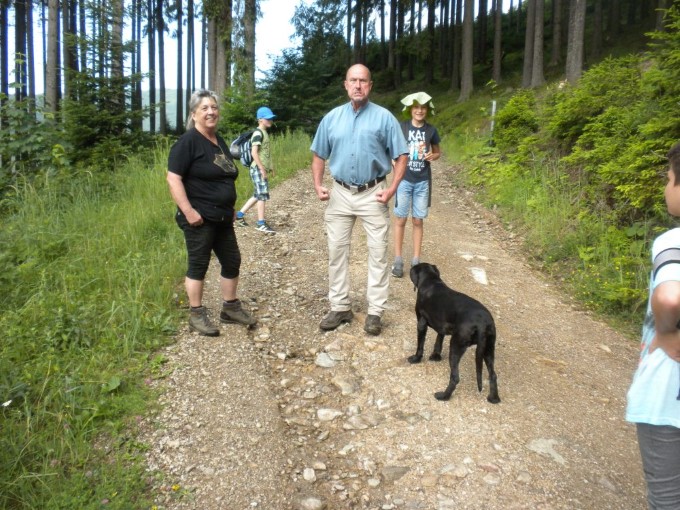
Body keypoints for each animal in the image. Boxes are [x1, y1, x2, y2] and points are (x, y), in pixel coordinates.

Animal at [409, 263, 500, 403]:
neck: (431, 281)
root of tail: (482, 322)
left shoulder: (421, 323)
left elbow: (420, 345)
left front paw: (415, 359)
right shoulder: (442, 326)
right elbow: (438, 341)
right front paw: (435, 356)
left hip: (456, 346)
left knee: (455, 377)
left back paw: (443, 396)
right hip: (488, 349)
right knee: (493, 375)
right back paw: (493, 399)